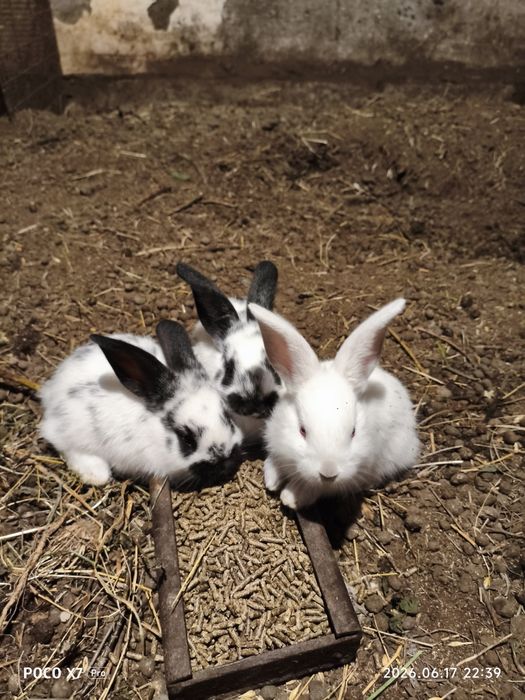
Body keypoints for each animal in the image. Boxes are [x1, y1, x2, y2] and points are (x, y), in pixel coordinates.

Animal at [248, 299, 420, 510]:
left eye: (353, 432)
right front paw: (272, 479)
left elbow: (314, 488)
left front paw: (291, 496)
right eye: (302, 431)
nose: (328, 473)